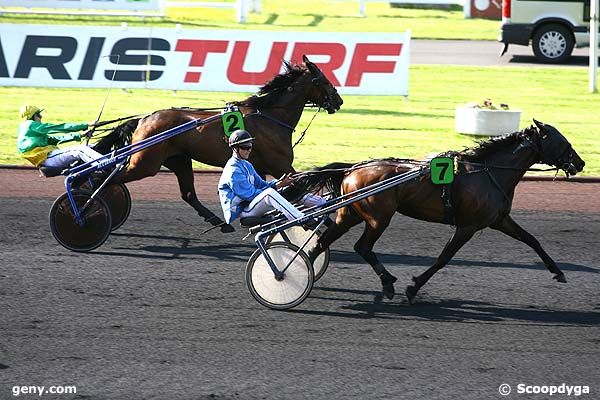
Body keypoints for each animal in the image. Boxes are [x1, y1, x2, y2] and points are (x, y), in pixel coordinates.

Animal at [96, 54, 344, 233]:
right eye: (323, 80)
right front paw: (318, 218)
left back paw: (219, 221)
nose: (339, 101)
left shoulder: (260, 168)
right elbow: (299, 186)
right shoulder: (281, 166)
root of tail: (144, 119)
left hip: (179, 160)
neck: (270, 117)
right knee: (107, 178)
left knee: (188, 194)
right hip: (145, 163)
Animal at [290, 120, 584, 304]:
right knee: (362, 246)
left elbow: (531, 240)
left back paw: (301, 270)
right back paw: (387, 283)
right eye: (561, 140)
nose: (580, 163)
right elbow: (444, 258)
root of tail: (353, 169)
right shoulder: (467, 226)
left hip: (350, 215)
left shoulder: (499, 220)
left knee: (323, 242)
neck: (488, 172)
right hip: (377, 218)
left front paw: (557, 271)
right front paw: (413, 287)